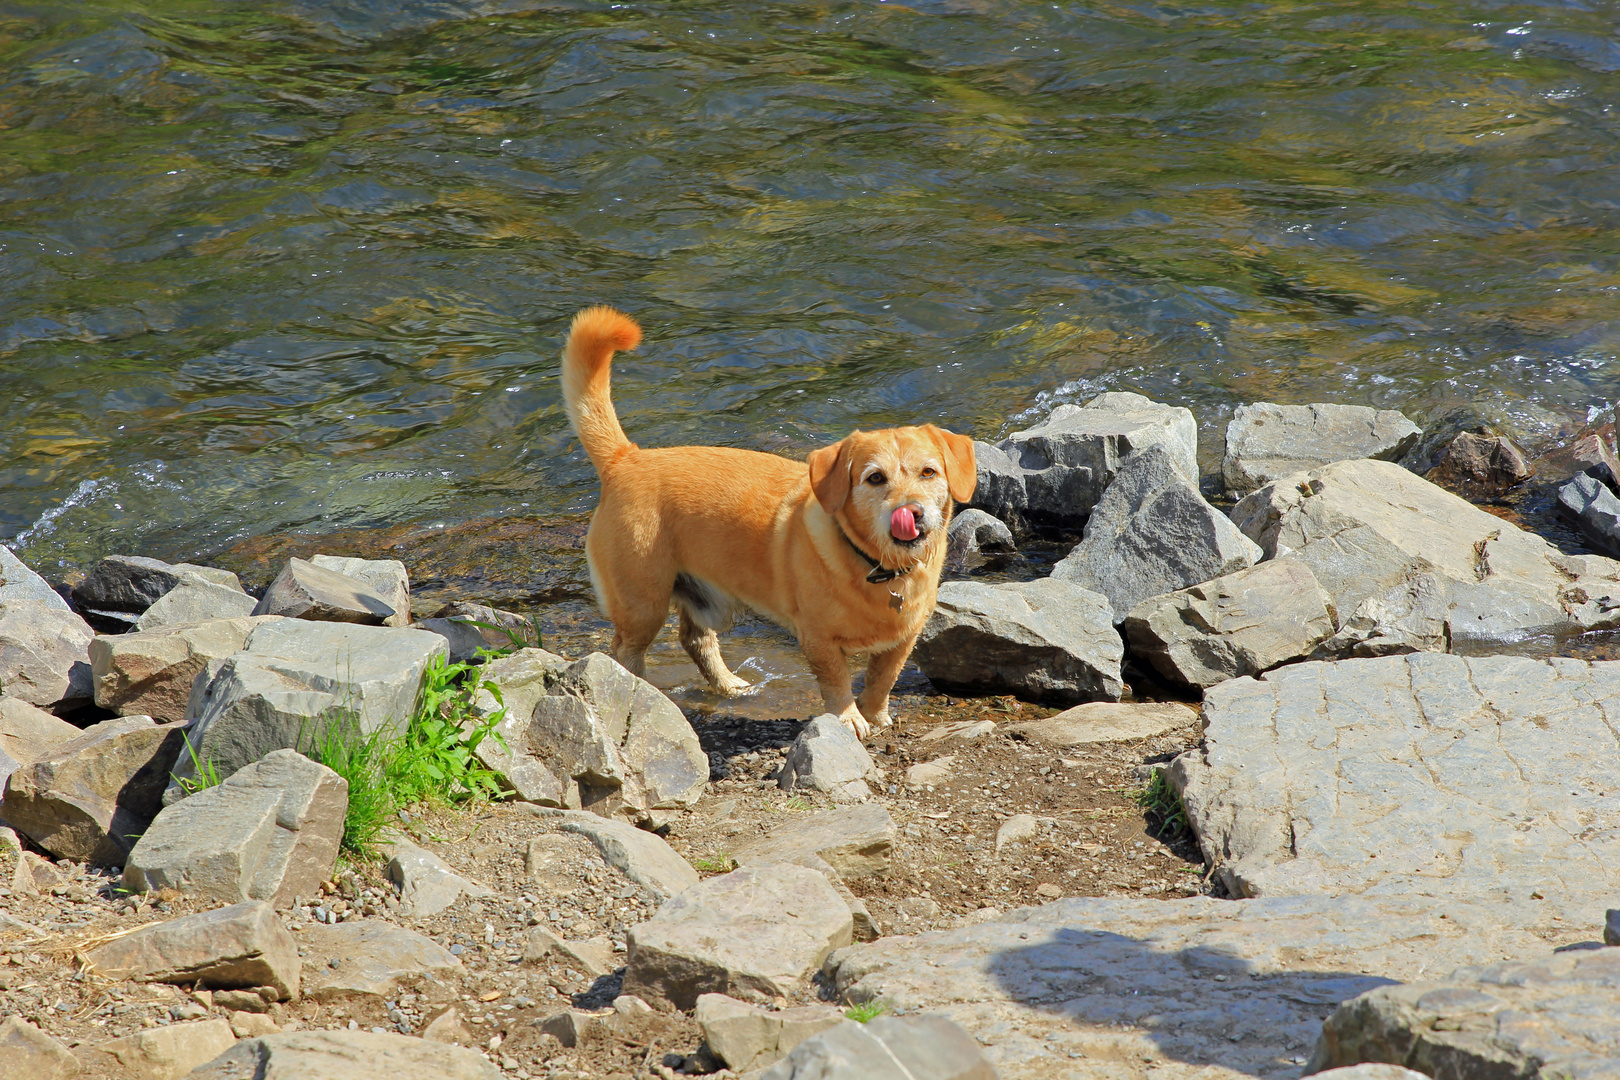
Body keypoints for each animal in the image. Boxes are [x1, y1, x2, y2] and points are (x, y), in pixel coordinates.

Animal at [563, 307, 972, 738]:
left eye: (929, 472)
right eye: (875, 478)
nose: (912, 513)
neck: (879, 569)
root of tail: (625, 458)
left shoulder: (903, 640)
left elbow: (883, 679)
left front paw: (875, 714)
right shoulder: (819, 640)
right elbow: (837, 681)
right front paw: (848, 718)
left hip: (709, 599)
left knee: (695, 639)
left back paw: (730, 686)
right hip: (643, 604)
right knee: (626, 653)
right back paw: (640, 690)